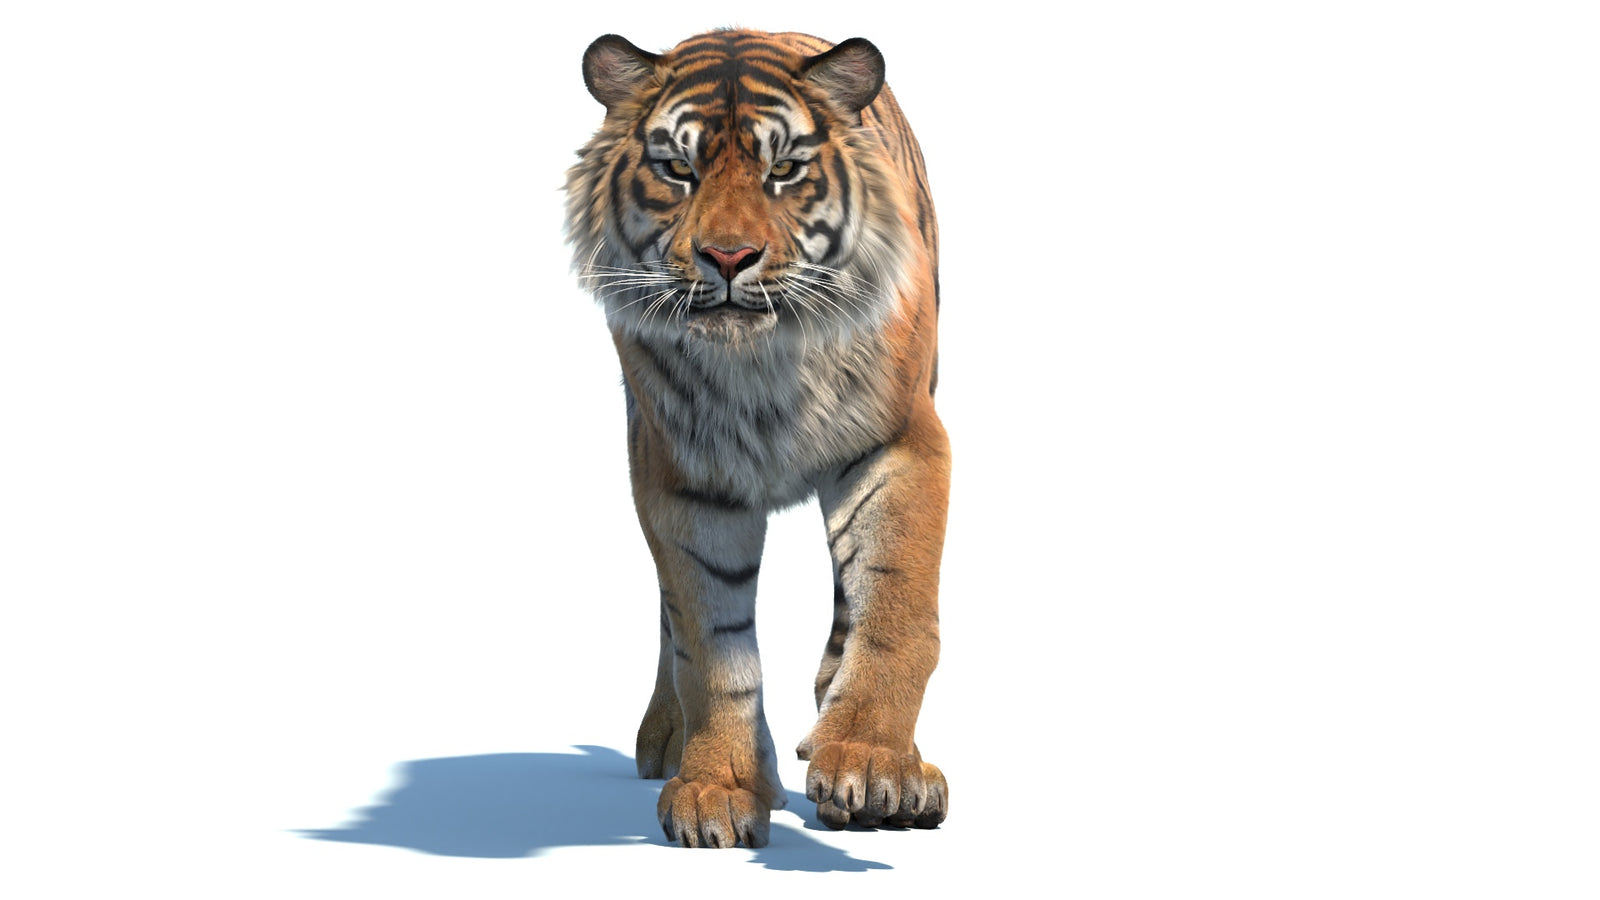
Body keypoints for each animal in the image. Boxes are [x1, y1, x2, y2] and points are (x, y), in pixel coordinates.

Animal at [564, 28, 949, 849]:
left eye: (785, 170)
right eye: (677, 170)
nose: (730, 257)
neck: (762, 366)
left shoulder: (900, 441)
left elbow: (895, 606)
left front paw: (875, 767)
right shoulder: (682, 475)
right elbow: (710, 642)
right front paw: (720, 789)